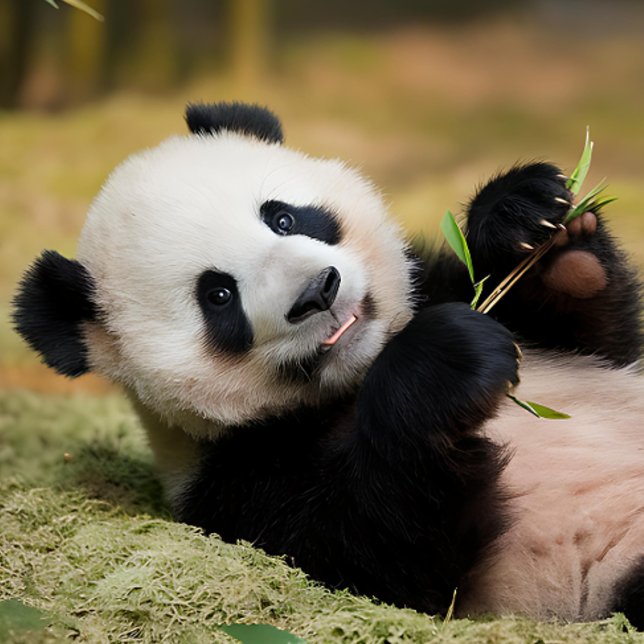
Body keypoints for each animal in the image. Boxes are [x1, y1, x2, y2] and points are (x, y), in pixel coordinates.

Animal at [13, 102, 644, 627]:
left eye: (284, 219)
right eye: (217, 296)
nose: (318, 291)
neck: (360, 373)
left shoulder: (439, 289)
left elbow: (602, 337)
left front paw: (535, 224)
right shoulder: (237, 490)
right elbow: (393, 554)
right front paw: (445, 360)